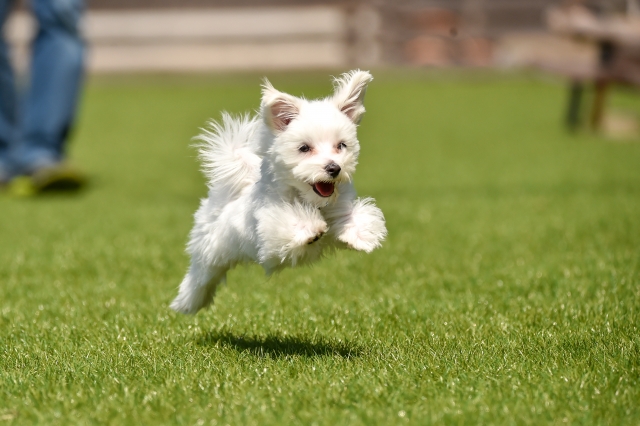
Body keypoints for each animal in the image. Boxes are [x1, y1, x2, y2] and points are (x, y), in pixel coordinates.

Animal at [170, 70, 388, 314]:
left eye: (341, 145)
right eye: (304, 148)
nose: (334, 168)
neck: (309, 199)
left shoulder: (338, 203)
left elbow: (351, 216)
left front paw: (360, 235)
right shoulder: (270, 219)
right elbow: (291, 220)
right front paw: (311, 229)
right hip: (209, 247)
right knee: (200, 275)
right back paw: (186, 303)